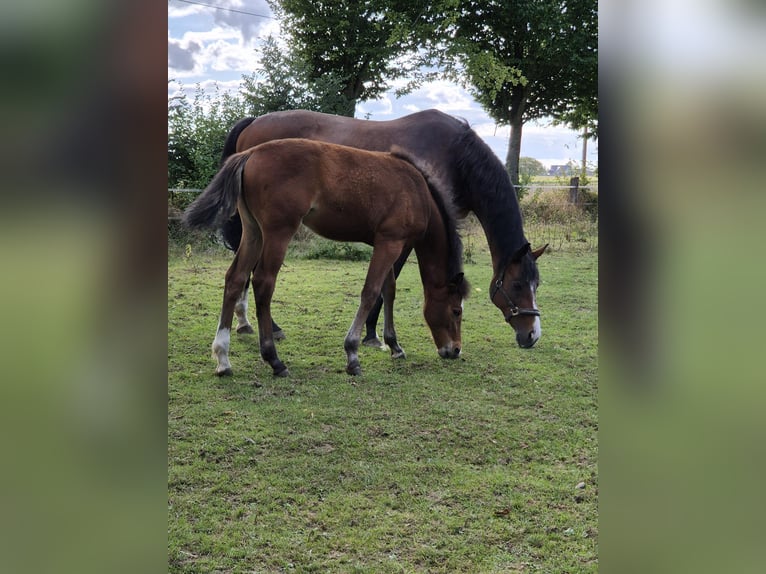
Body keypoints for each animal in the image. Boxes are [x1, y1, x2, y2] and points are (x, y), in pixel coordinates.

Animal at [183, 139, 470, 377]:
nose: (455, 350)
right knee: (263, 282)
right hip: (278, 232)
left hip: (253, 231)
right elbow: (370, 291)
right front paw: (352, 355)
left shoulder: (388, 243)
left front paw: (394, 346)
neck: (417, 191)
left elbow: (388, 290)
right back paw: (274, 360)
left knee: (235, 278)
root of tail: (251, 153)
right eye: (456, 311)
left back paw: (223, 359)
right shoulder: (390, 243)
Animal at [219, 109, 548, 349]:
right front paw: (372, 334)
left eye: (537, 285)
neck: (455, 156)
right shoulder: (403, 237)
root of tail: (253, 122)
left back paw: (244, 323)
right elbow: (386, 283)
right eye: (518, 285)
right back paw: (265, 327)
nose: (533, 335)